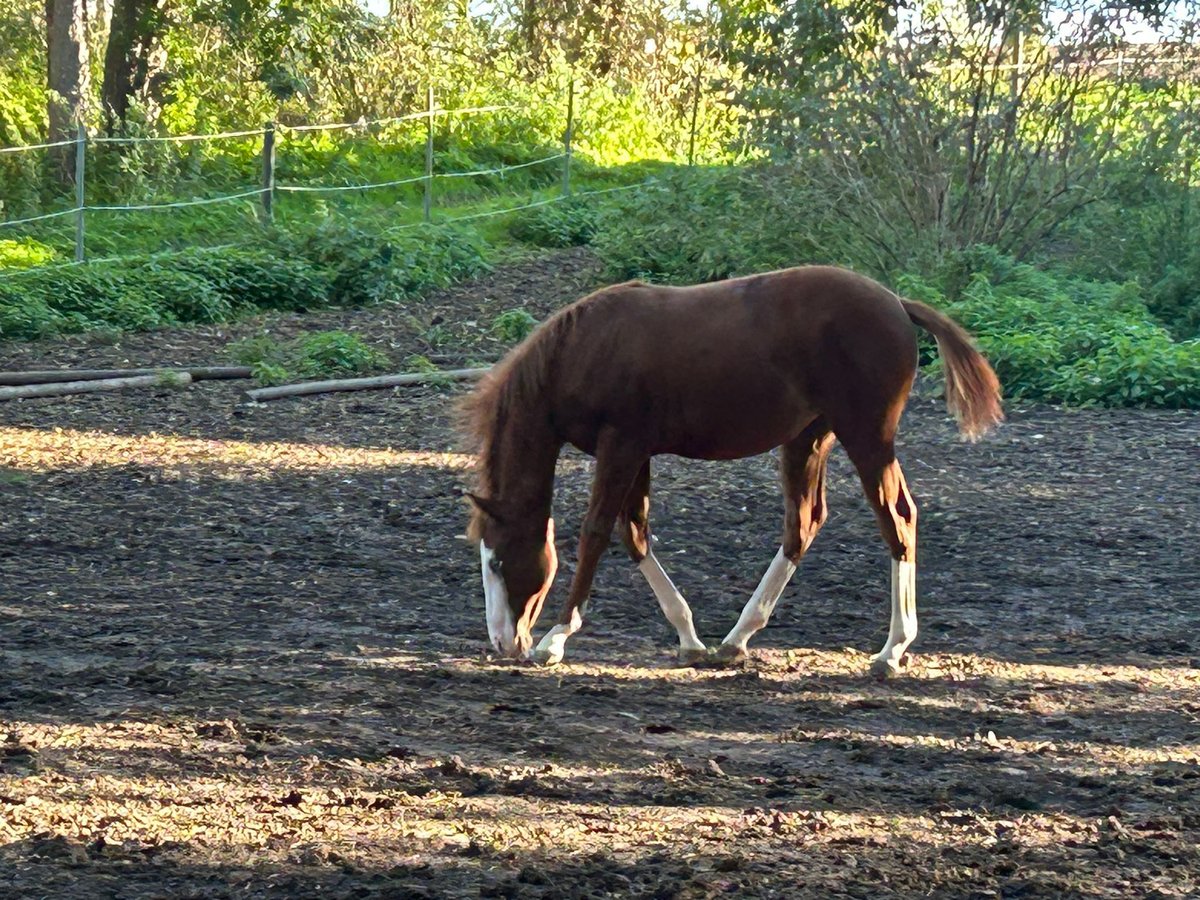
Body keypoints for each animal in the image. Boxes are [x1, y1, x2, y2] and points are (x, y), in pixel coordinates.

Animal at [458, 266, 1003, 676]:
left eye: (497, 561)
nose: (503, 642)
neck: (585, 350)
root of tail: (897, 303)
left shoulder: (621, 446)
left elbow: (596, 532)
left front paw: (555, 638)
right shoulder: (637, 453)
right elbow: (635, 534)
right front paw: (689, 639)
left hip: (867, 438)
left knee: (898, 519)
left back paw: (892, 650)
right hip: (808, 439)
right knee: (804, 523)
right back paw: (735, 639)